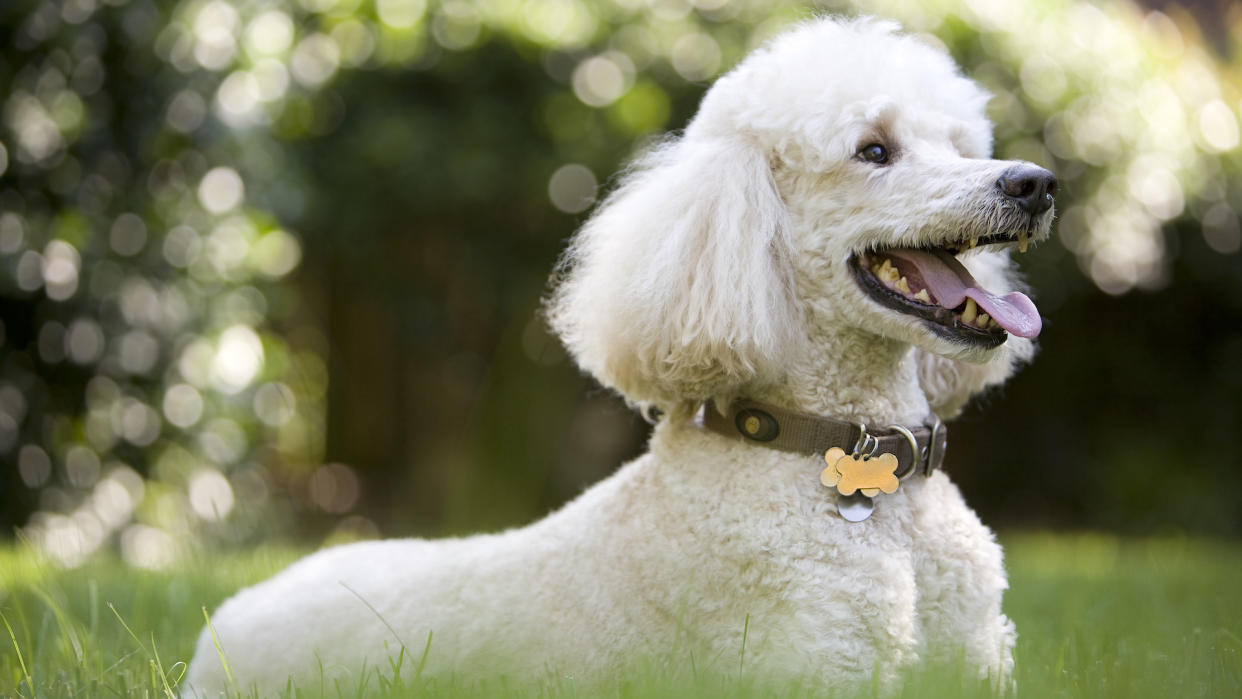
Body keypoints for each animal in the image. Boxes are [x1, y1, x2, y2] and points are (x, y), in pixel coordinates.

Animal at [186, 16, 1058, 695]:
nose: (1037, 183)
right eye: (874, 150)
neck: (852, 460)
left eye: (960, 143)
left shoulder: (979, 661)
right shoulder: (816, 665)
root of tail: (217, 623)